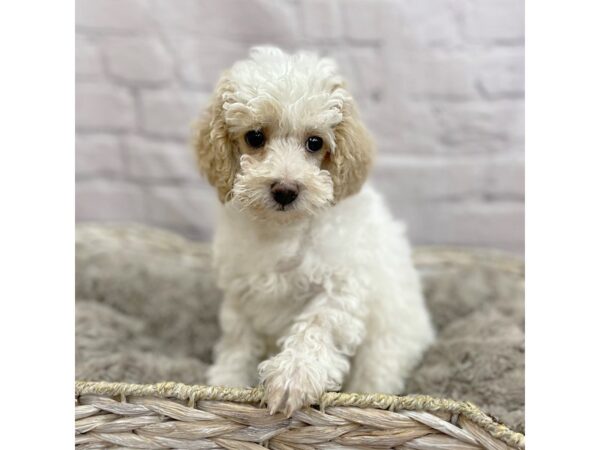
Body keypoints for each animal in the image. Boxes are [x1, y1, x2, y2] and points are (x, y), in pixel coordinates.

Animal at [197, 47, 436, 416]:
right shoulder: (241, 290)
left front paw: (293, 375)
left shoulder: (342, 284)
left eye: (314, 142)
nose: (285, 190)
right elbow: (238, 338)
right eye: (255, 137)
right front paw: (226, 381)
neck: (284, 230)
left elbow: (318, 324)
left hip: (385, 349)